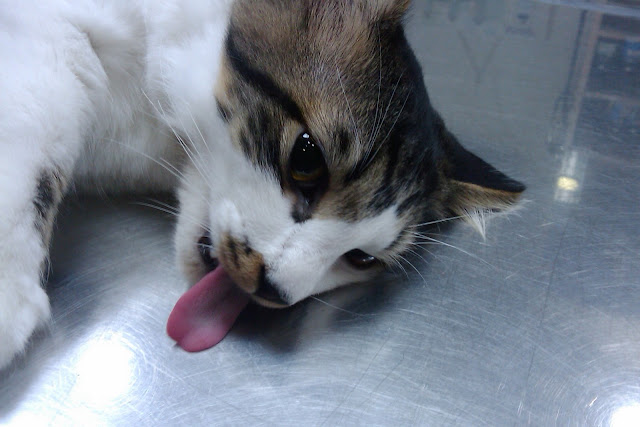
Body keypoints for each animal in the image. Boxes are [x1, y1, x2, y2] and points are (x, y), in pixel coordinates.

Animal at [0, 0, 524, 369]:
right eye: (307, 160)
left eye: (361, 258)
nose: (273, 290)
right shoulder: (57, 32)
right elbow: (39, 123)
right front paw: (9, 291)